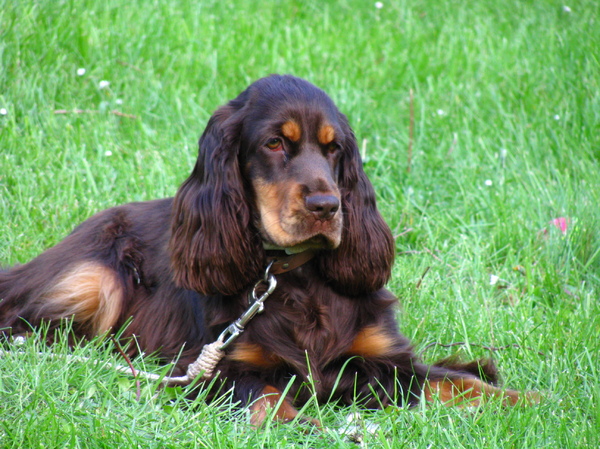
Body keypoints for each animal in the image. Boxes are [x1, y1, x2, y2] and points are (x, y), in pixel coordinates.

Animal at [0, 75, 536, 426]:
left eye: (335, 148)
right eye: (276, 143)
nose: (327, 206)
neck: (292, 276)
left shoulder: (384, 359)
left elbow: (460, 382)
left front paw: (531, 400)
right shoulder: (216, 367)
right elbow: (269, 399)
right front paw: (308, 426)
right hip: (95, 279)